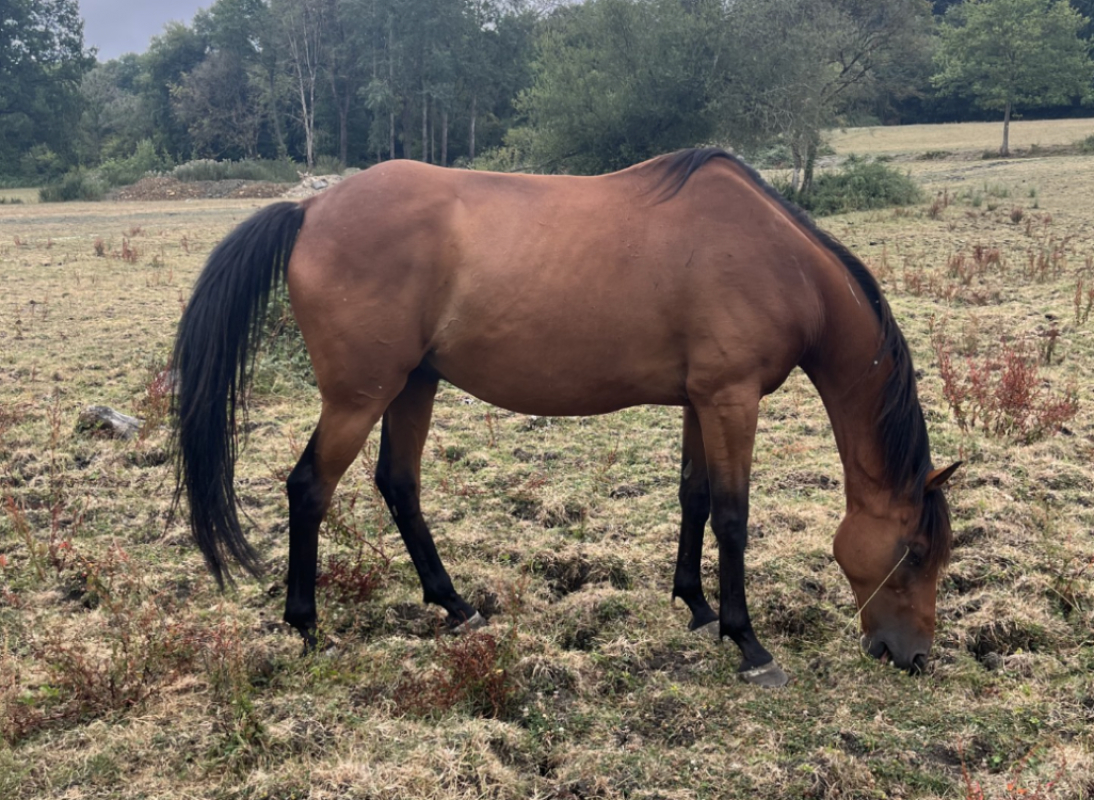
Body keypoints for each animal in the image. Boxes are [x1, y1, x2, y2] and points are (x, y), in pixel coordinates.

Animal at [171, 147, 959, 688]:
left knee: (398, 486)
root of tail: (311, 209)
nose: (913, 656)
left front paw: (697, 607)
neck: (781, 264)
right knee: (310, 489)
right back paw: (307, 627)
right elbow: (733, 517)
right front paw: (748, 643)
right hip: (360, 397)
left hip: (413, 385)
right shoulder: (732, 399)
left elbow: (695, 498)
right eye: (915, 551)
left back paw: (456, 606)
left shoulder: (700, 401)